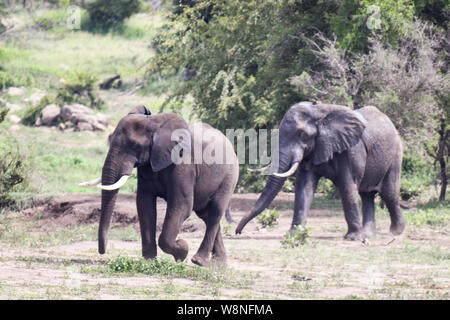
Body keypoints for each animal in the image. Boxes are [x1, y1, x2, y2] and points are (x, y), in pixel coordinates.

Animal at [80, 106, 239, 266]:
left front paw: (182, 251)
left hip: (230, 175)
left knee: (215, 211)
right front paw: (149, 261)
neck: (155, 124)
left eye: (134, 145)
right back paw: (218, 263)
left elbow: (181, 205)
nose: (103, 251)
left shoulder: (183, 163)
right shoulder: (146, 165)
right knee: (205, 214)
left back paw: (199, 261)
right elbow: (144, 204)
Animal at [237, 102, 406, 240]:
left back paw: (396, 232)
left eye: (303, 135)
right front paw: (293, 235)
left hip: (396, 154)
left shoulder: (351, 149)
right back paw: (369, 235)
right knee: (367, 194)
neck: (320, 112)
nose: (238, 232)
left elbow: (347, 186)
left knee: (389, 193)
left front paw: (352, 238)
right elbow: (304, 188)